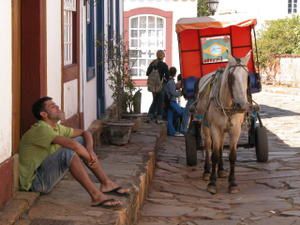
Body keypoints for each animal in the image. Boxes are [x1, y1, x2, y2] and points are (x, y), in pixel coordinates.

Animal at [195, 51, 251, 193]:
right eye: (231, 77)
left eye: (247, 76)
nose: (242, 105)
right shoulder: (215, 128)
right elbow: (214, 154)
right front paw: (212, 183)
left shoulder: (235, 130)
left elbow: (232, 156)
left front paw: (232, 183)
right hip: (205, 126)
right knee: (208, 146)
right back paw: (207, 171)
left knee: (220, 146)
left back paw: (220, 170)